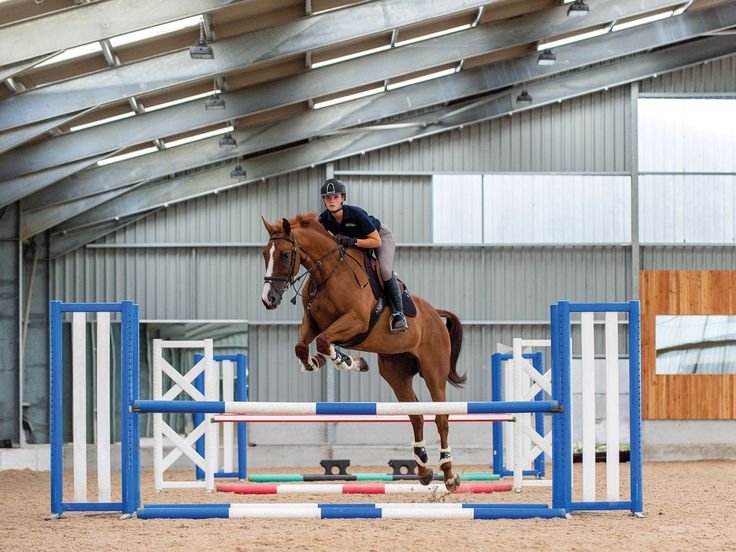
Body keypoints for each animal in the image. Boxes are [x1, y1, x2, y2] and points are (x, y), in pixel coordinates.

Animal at [260, 213, 466, 490]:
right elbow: (302, 347)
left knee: (441, 418)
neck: (327, 273)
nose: (268, 299)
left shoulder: (355, 321)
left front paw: (347, 361)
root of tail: (435, 314)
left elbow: (324, 342)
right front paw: (314, 363)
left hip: (434, 372)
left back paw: (449, 474)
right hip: (396, 373)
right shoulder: (312, 322)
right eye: (264, 254)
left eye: (283, 254)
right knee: (416, 415)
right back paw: (423, 469)